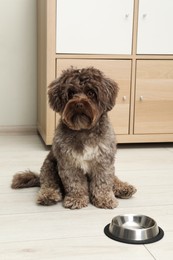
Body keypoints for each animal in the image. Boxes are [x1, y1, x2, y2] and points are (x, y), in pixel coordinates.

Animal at [11, 67, 137, 209]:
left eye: (91, 92)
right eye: (71, 93)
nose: (79, 104)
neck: (83, 130)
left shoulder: (103, 161)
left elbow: (103, 182)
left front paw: (104, 199)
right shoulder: (69, 164)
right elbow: (75, 184)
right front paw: (77, 199)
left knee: (113, 178)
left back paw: (123, 188)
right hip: (49, 166)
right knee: (48, 183)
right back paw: (48, 196)